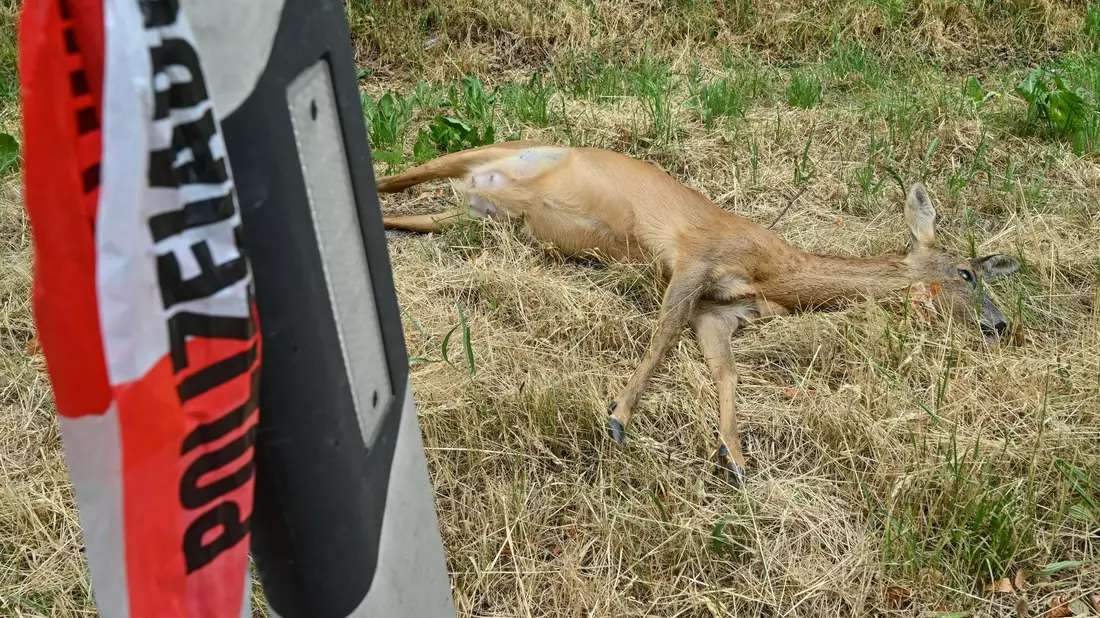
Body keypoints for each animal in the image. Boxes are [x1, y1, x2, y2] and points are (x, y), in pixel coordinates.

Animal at [375, 141, 1022, 485]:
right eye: (966, 273)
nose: (999, 325)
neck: (773, 273)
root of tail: (479, 185)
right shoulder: (694, 258)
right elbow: (661, 338)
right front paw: (618, 418)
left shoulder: (719, 312)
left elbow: (725, 371)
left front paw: (734, 457)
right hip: (487, 154)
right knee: (397, 175)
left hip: (478, 217)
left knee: (410, 213)